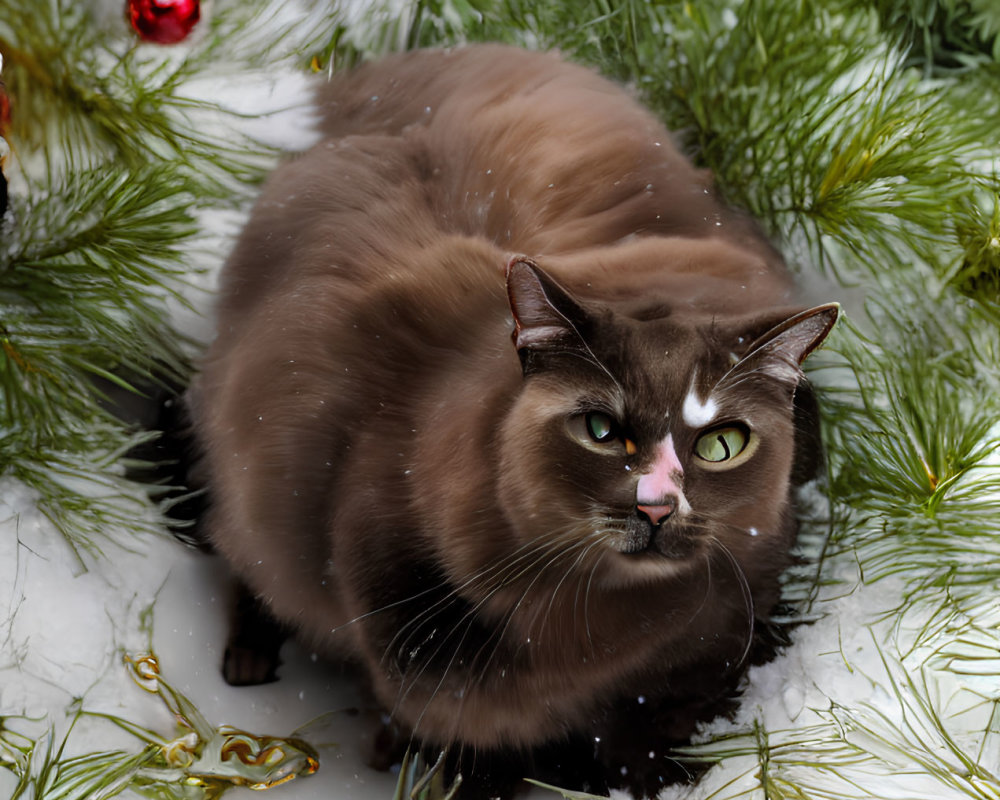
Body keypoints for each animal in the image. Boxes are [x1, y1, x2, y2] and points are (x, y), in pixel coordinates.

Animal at [186, 45, 836, 800]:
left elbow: (652, 740)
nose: (656, 505)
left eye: (721, 444)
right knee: (243, 556)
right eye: (601, 430)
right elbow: (469, 739)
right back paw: (252, 665)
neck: (583, 628)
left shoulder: (707, 653)